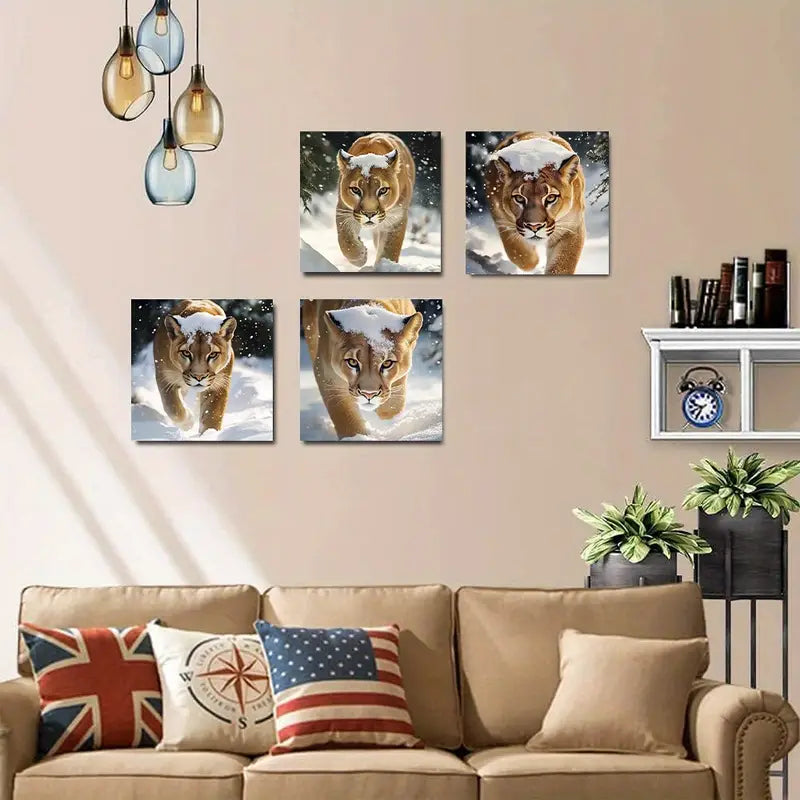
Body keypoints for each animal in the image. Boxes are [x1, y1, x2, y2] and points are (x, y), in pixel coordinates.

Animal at [153, 299, 237, 435]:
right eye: (186, 353)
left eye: (213, 354)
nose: (199, 377)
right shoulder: (165, 377)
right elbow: (173, 407)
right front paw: (188, 422)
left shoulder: (219, 383)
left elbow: (212, 414)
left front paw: (209, 434)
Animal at [302, 299, 423, 439]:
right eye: (352, 362)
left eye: (387, 363)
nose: (369, 394)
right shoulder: (326, 373)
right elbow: (343, 413)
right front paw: (355, 437)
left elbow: (396, 399)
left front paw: (387, 414)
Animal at [336, 133, 416, 268]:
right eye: (355, 190)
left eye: (383, 190)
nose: (369, 214)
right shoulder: (343, 210)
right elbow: (345, 241)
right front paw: (360, 256)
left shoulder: (397, 218)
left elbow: (390, 250)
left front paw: (385, 266)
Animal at [485, 131, 586, 275]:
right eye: (519, 198)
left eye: (551, 198)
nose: (534, 226)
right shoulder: (501, 220)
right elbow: (519, 255)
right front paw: (533, 260)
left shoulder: (572, 227)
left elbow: (561, 267)